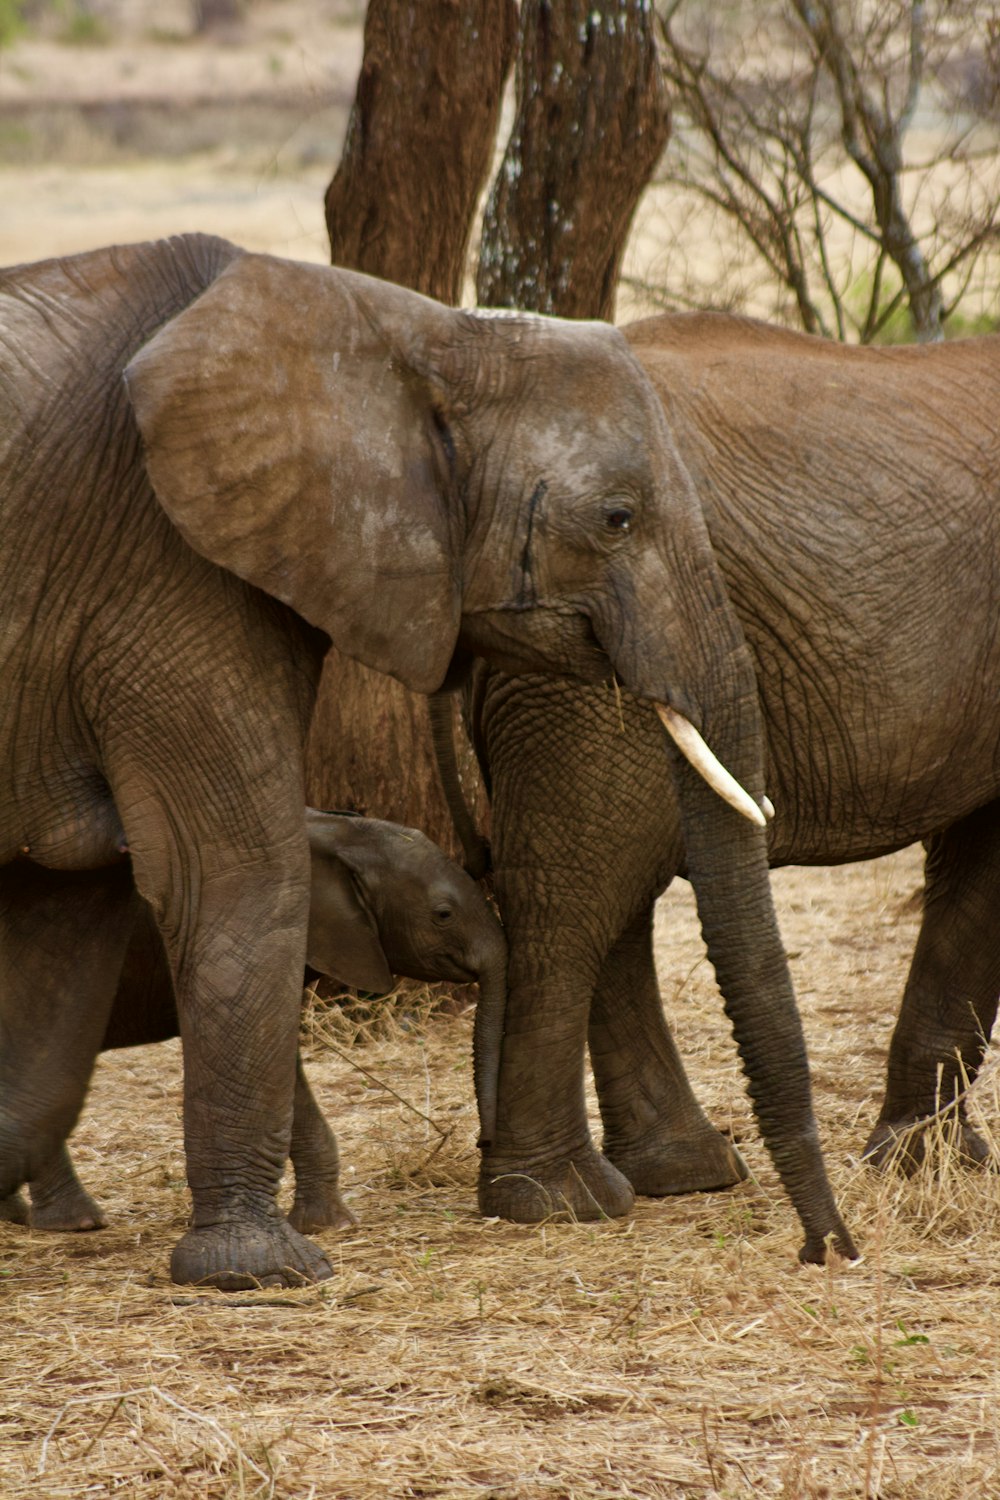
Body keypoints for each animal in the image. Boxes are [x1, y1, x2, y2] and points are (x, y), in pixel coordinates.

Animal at [3, 816, 509, 1236]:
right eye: (443, 914)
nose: (483, 1140)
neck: (337, 832)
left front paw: (327, 1227)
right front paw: (331, 1227)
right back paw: (77, 1223)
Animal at [458, 307, 1000, 1230]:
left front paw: (925, 1167)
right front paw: (931, 1168)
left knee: (612, 896)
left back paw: (683, 1172)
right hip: (584, 664)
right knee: (572, 897)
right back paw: (559, 1201)